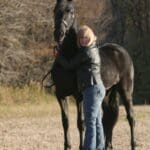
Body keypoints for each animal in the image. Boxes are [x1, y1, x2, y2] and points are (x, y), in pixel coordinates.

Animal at [49, 0, 135, 149]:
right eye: (55, 10)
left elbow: (80, 123)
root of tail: (121, 51)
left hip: (126, 91)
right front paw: (67, 146)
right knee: (107, 119)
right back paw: (107, 146)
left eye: (70, 11)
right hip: (107, 94)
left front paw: (81, 146)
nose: (59, 33)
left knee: (130, 118)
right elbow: (65, 121)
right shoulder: (60, 95)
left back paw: (133, 144)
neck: (69, 56)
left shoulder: (79, 96)